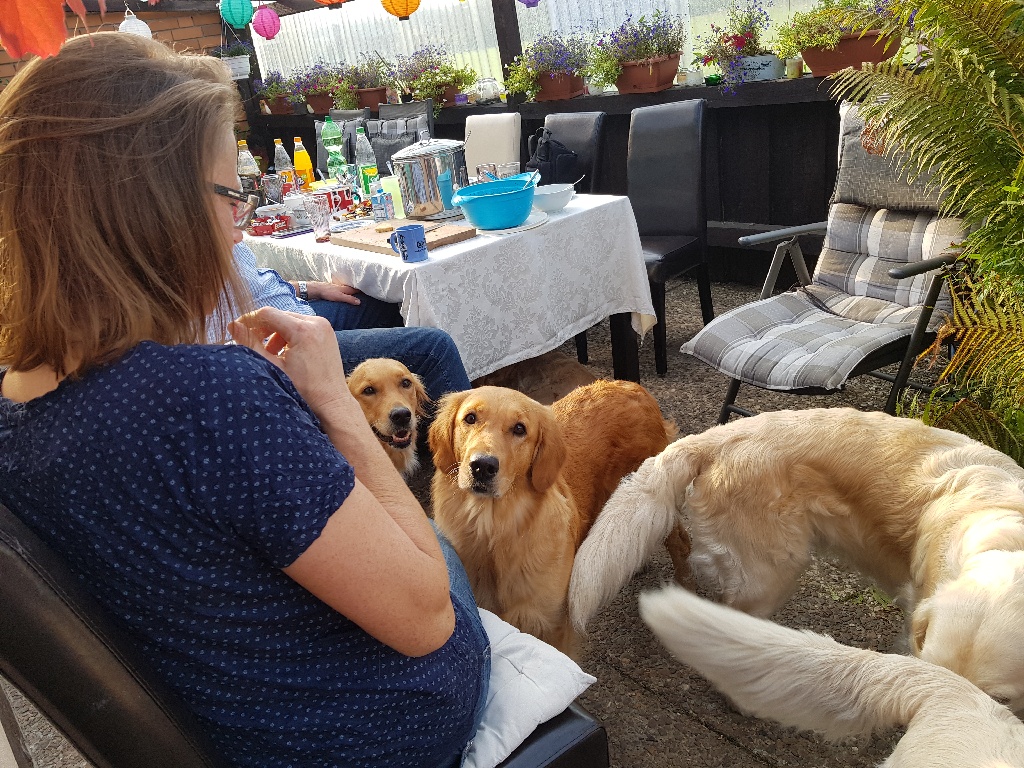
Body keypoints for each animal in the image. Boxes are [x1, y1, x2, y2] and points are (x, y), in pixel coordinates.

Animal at [429, 380, 687, 656]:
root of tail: (633, 386)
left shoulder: (552, 625)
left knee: (681, 542)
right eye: (470, 418)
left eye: (519, 429)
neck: (494, 530)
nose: (482, 466)